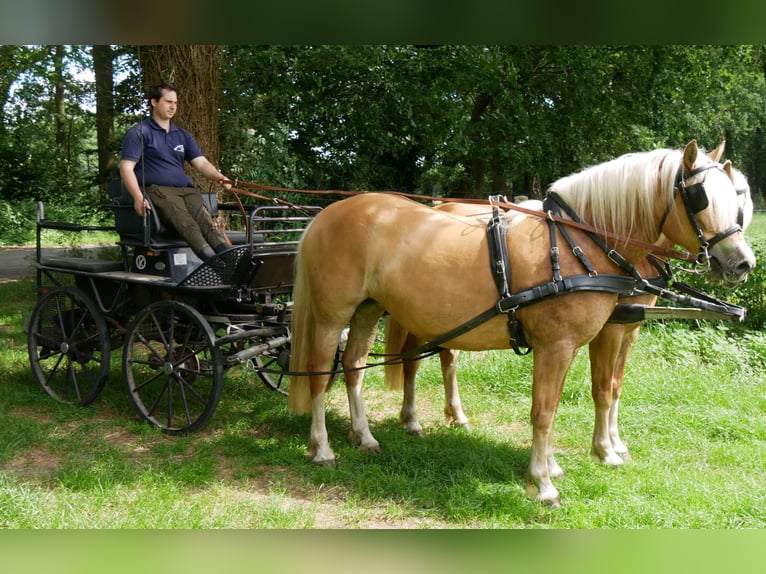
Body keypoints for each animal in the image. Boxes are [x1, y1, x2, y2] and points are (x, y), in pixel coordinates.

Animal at [288, 140, 755, 506]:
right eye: (700, 197)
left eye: (737, 198)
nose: (743, 263)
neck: (580, 242)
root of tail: (326, 213)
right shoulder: (561, 344)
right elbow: (550, 410)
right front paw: (548, 482)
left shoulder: (590, 339)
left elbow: (584, 397)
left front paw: (559, 464)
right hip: (333, 315)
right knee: (320, 373)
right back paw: (323, 448)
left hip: (369, 309)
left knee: (355, 367)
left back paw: (366, 437)